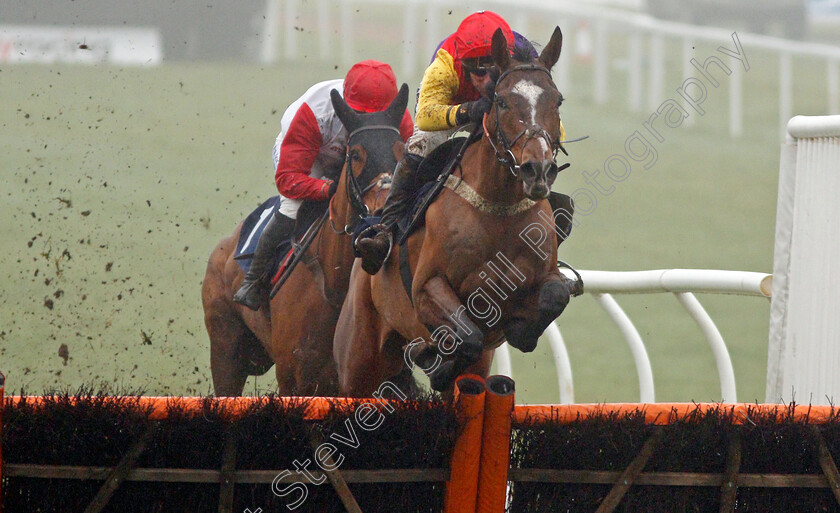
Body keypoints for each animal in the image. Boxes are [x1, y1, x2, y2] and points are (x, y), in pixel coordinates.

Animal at [205, 84, 412, 396]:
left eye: (403, 152)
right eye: (356, 155)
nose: (385, 212)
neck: (335, 286)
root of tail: (223, 248)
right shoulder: (295, 381)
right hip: (225, 352)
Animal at [332, 27, 580, 396]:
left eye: (557, 100)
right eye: (502, 101)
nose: (537, 169)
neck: (498, 209)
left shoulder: (546, 275)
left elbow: (555, 296)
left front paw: (521, 329)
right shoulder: (426, 287)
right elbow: (468, 334)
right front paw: (439, 359)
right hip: (359, 361)